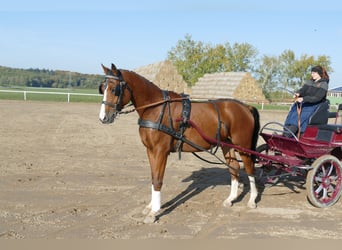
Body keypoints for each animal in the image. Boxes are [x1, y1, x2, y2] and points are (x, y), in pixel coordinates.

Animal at [98, 63, 260, 224]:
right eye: (102, 88)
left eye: (114, 89)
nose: (103, 118)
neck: (156, 108)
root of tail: (245, 107)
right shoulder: (150, 150)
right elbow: (153, 176)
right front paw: (151, 205)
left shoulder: (160, 151)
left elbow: (158, 179)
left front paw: (154, 212)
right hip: (227, 144)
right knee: (234, 167)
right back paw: (230, 199)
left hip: (243, 146)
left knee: (249, 168)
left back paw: (252, 200)